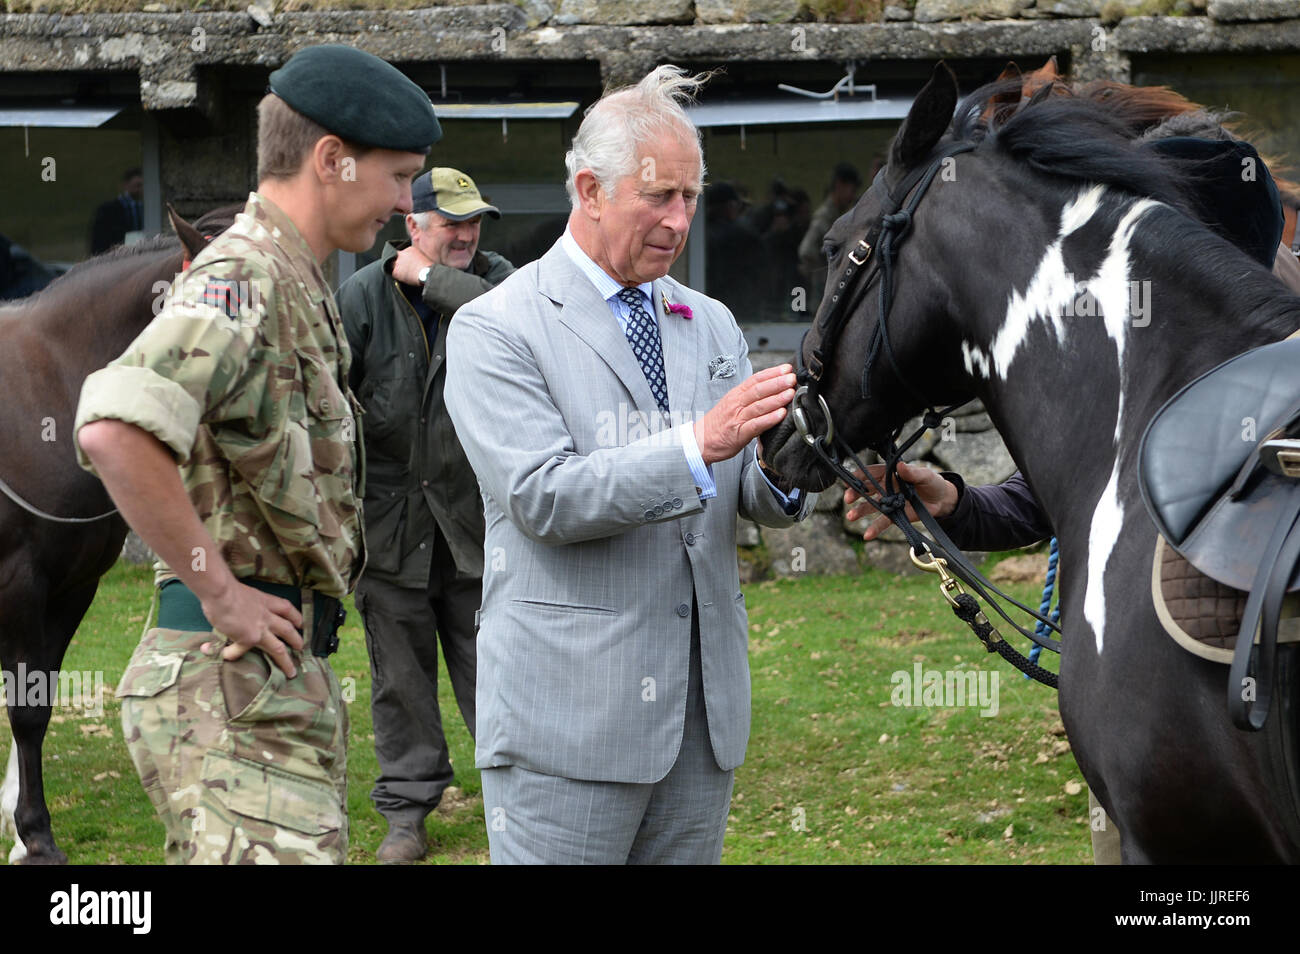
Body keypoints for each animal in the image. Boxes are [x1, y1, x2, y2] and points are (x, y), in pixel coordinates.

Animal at [0, 209, 231, 868]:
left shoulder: (73, 586)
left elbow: (39, 699)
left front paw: (21, 830)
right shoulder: (17, 579)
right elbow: (24, 707)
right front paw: (36, 834)